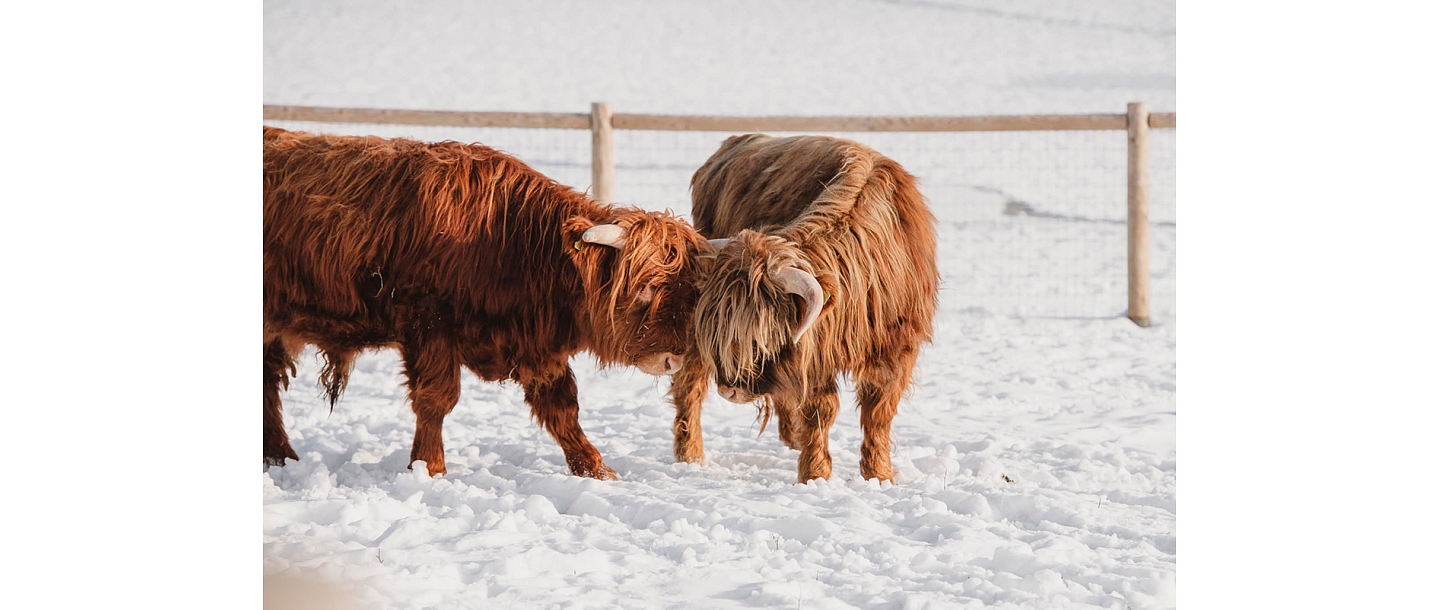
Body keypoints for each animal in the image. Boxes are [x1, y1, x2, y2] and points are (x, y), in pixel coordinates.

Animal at [668, 132, 938, 480]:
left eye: (761, 338)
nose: (731, 390)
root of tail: (738, 141)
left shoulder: (897, 347)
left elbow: (878, 411)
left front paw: (879, 475)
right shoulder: (815, 355)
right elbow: (820, 410)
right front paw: (815, 474)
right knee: (689, 383)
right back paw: (691, 456)